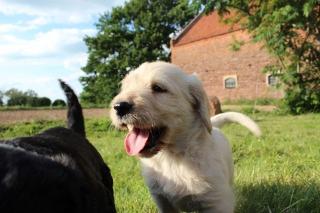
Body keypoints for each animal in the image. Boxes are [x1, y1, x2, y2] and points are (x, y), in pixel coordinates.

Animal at [110, 60, 260, 212]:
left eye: (158, 88)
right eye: (126, 87)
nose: (119, 106)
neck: (172, 157)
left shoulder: (217, 201)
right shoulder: (162, 200)